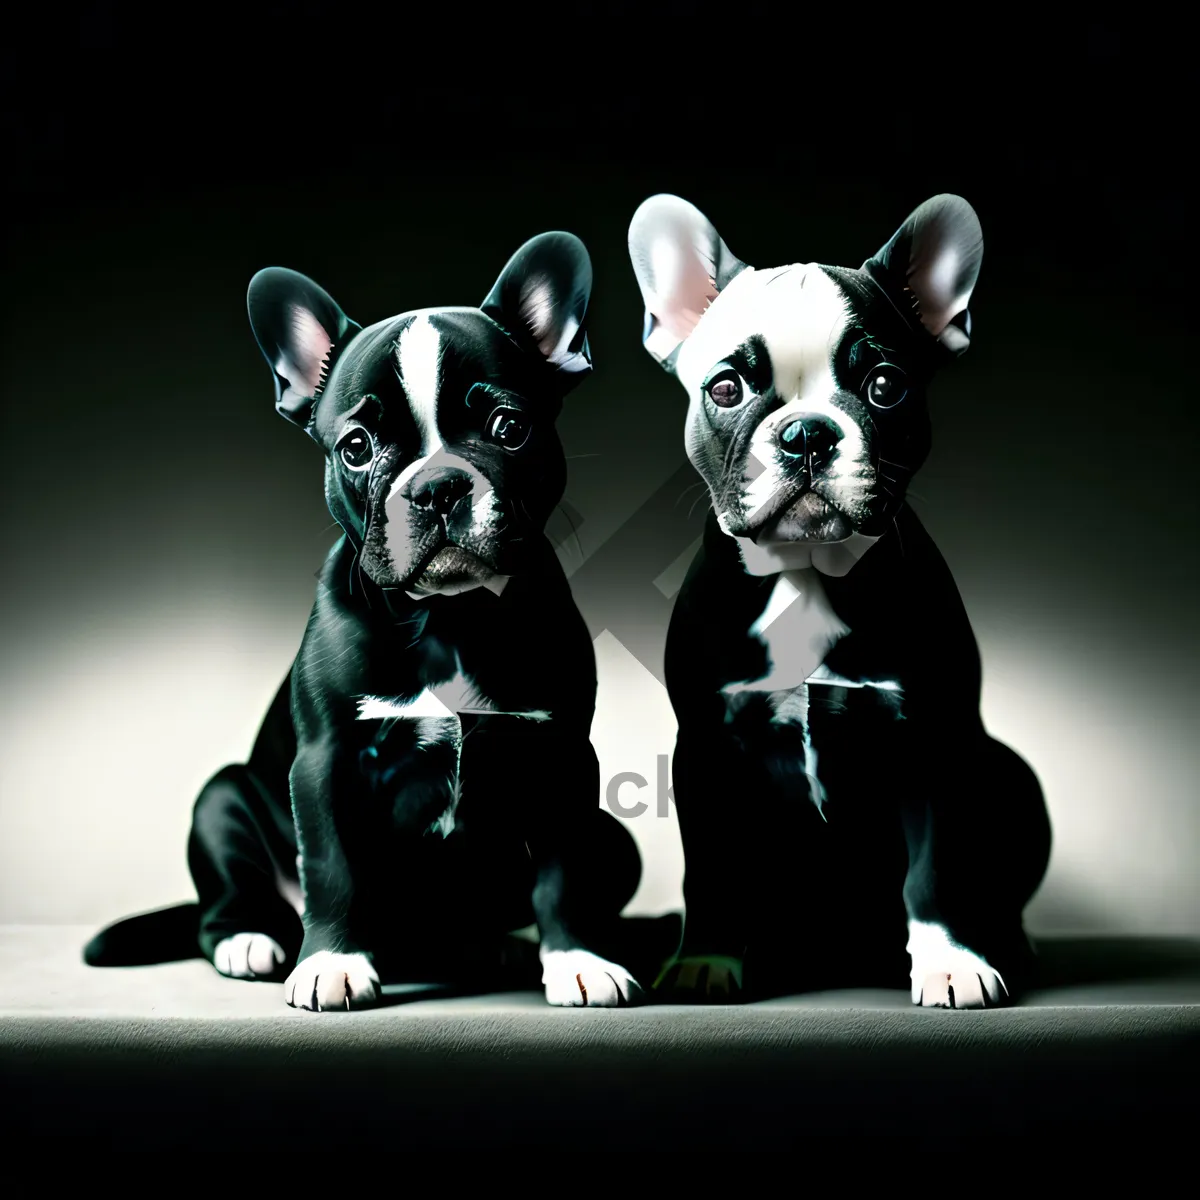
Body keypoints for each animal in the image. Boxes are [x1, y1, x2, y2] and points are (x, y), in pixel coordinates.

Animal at [628, 194, 1051, 1003]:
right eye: (725, 389)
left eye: (885, 386)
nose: (806, 434)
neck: (806, 573)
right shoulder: (707, 747)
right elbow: (713, 870)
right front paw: (708, 960)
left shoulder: (935, 740)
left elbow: (935, 869)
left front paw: (952, 962)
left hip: (1010, 774)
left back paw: (1006, 943)